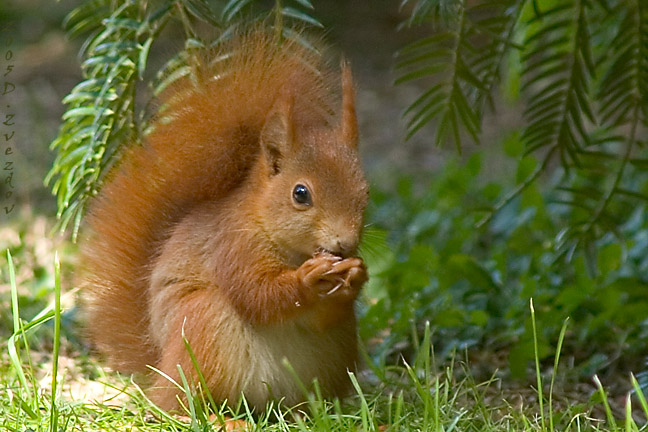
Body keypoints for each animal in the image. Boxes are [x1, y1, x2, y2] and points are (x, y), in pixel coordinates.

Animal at [79, 28, 370, 410]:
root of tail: (159, 366)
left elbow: (322, 316)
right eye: (300, 193)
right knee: (176, 406)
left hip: (335, 350)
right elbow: (257, 294)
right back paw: (223, 417)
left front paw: (357, 274)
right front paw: (307, 280)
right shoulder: (232, 245)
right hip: (202, 327)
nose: (345, 244)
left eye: (366, 191)